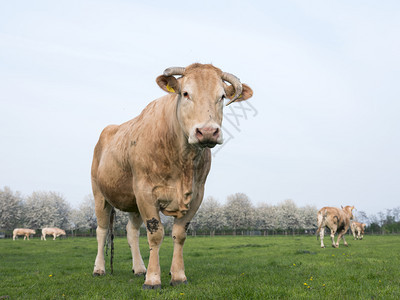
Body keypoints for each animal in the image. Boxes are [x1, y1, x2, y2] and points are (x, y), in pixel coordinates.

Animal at [91, 62, 253, 288]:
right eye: (185, 93)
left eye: (222, 96)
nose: (207, 131)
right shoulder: (145, 192)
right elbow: (155, 234)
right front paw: (153, 279)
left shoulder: (196, 194)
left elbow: (179, 234)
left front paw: (177, 276)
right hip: (100, 194)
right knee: (102, 230)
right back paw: (99, 269)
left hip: (133, 202)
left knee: (131, 232)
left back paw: (139, 268)